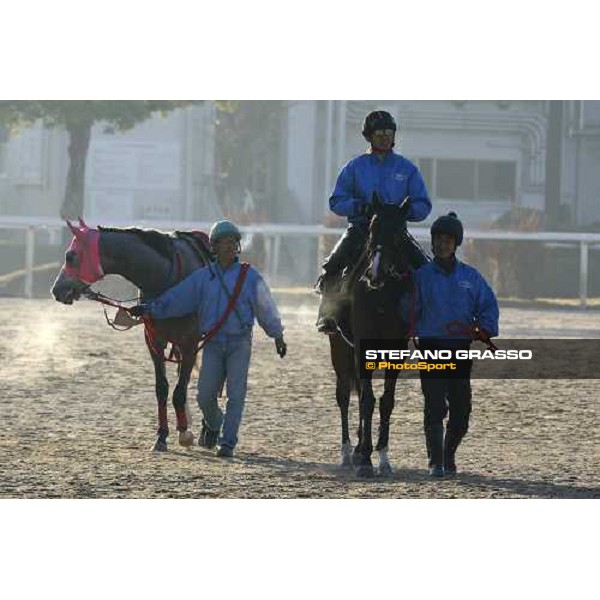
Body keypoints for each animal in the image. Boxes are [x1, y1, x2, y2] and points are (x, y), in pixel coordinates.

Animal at [51, 220, 212, 450]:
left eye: (70, 256)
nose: (57, 289)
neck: (167, 278)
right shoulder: (154, 340)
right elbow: (162, 388)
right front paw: (162, 435)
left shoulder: (190, 342)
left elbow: (180, 391)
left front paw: (185, 434)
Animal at [330, 197, 420, 478]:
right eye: (371, 228)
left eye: (399, 233)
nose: (375, 274)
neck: (382, 297)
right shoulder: (361, 348)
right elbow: (367, 400)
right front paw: (365, 460)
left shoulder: (396, 352)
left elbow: (386, 401)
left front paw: (382, 457)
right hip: (340, 349)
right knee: (344, 395)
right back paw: (348, 453)